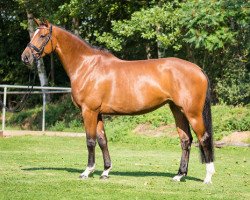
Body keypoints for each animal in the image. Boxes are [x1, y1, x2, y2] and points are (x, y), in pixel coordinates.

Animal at [21, 18, 215, 183]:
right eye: (33, 34)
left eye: (43, 36)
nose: (25, 57)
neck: (87, 66)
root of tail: (198, 69)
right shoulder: (98, 113)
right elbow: (102, 140)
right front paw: (106, 171)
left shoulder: (88, 111)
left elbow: (90, 141)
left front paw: (87, 171)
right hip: (177, 110)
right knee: (186, 140)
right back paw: (179, 175)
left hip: (193, 113)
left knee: (203, 138)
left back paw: (208, 177)